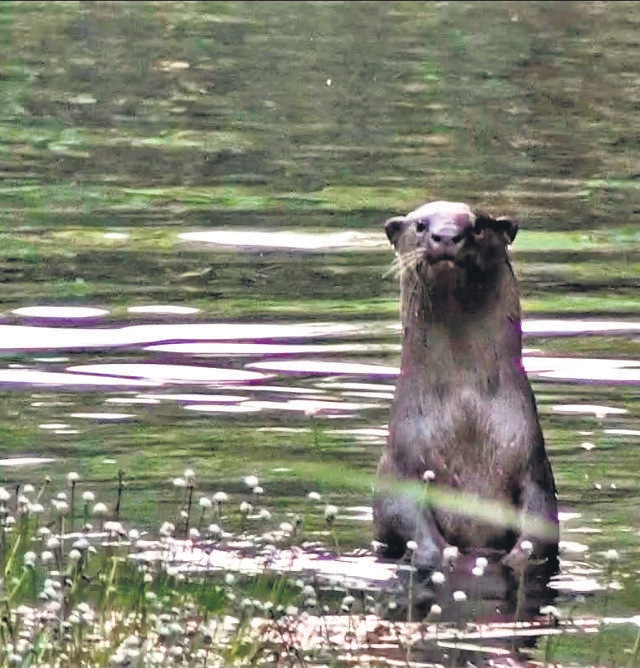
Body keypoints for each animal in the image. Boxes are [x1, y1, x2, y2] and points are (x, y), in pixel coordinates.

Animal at [374, 200, 559, 574]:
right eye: (420, 224)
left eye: (477, 226)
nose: (446, 236)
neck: (465, 418)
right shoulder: (398, 464)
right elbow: (398, 509)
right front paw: (437, 554)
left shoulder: (534, 467)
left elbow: (542, 520)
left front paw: (518, 559)